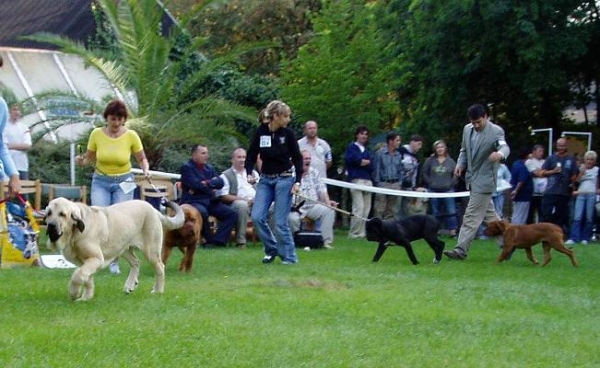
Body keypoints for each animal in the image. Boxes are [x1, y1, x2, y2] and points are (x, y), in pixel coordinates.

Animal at [46, 198, 184, 302]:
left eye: (62, 214)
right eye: (48, 213)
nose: (51, 226)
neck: (73, 232)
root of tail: (153, 209)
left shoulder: (96, 259)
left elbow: (78, 275)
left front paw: (74, 292)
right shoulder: (88, 262)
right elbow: (87, 278)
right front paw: (86, 297)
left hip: (150, 250)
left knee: (160, 267)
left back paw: (158, 290)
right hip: (123, 248)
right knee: (136, 262)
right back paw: (129, 285)